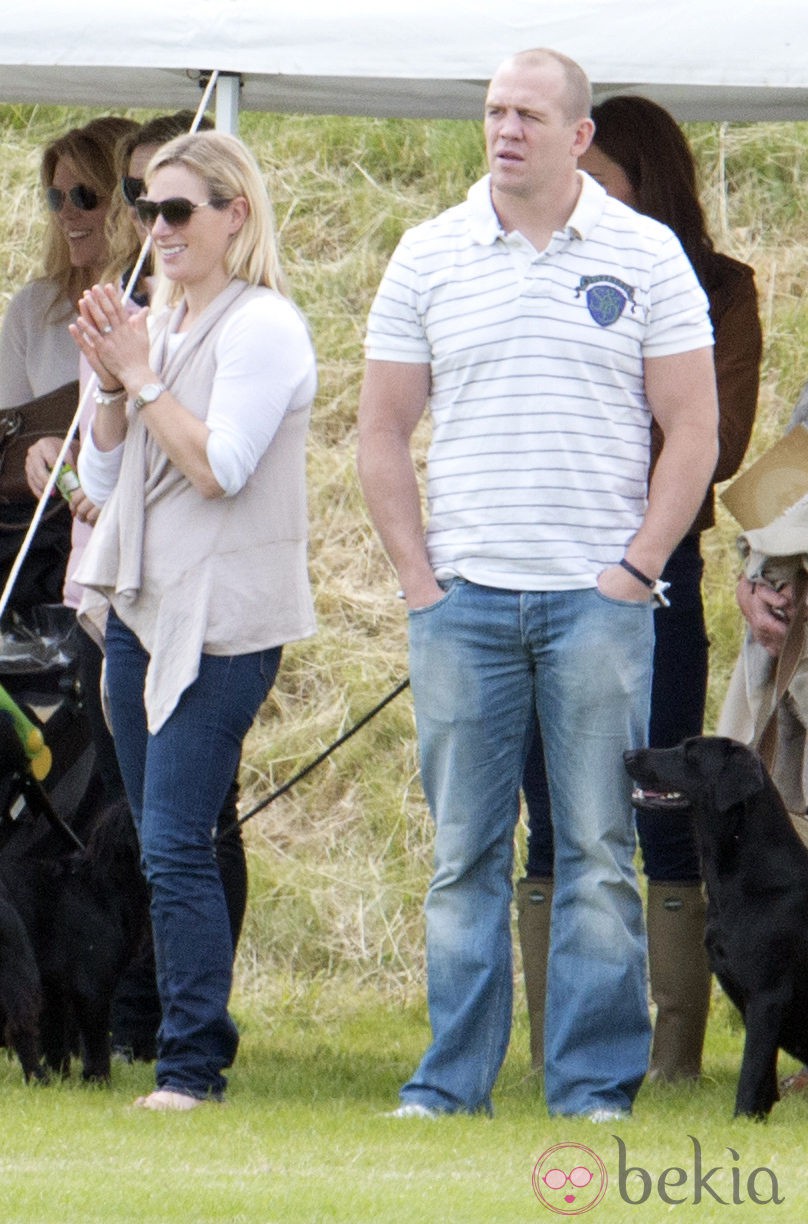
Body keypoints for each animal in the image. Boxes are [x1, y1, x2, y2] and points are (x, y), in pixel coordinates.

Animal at [626, 734, 808, 1121]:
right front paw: (756, 1121)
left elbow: (751, 1069)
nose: (628, 754)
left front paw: (742, 1118)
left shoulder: (768, 995)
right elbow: (764, 1074)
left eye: (689, 753)